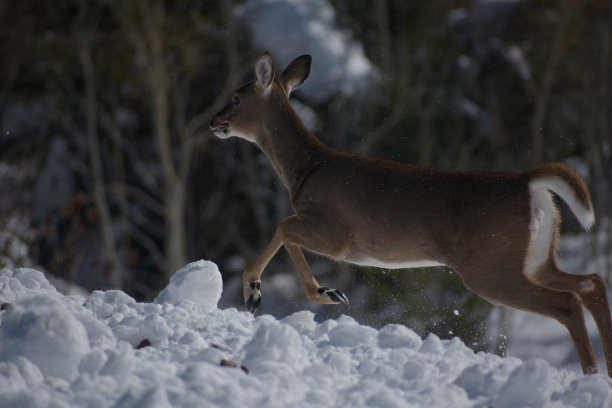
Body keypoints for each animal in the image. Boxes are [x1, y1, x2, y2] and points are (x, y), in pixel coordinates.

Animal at [210, 51, 612, 376]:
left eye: (236, 98)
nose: (214, 121)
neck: (306, 169)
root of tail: (528, 183)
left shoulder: (336, 233)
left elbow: (284, 227)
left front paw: (270, 292)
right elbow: (285, 230)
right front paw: (317, 291)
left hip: (491, 266)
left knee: (567, 303)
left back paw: (590, 374)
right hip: (535, 257)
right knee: (591, 282)